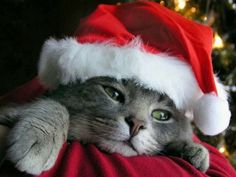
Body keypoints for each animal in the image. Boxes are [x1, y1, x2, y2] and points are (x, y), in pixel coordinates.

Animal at [0, 76, 210, 175]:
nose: (136, 124)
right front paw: (41, 136)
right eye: (113, 93)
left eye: (161, 115)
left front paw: (192, 149)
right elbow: (57, 106)